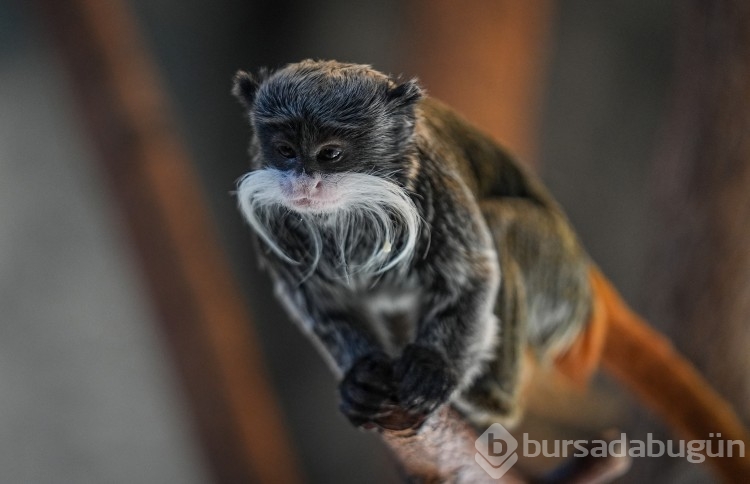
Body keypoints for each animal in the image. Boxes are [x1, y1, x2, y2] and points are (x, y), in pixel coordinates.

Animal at [235, 58, 750, 478]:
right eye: (285, 150)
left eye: (330, 154)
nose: (303, 183)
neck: (349, 212)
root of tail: (584, 275)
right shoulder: (277, 229)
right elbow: (324, 308)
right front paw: (361, 379)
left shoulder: (434, 187)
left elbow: (472, 277)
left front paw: (435, 370)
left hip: (555, 276)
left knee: (501, 227)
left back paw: (489, 401)